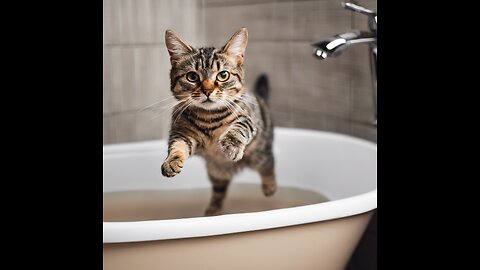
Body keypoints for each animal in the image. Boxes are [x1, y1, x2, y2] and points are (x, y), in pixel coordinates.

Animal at [161, 27, 276, 216]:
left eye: (223, 75)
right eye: (192, 76)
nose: (207, 90)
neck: (209, 118)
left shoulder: (248, 119)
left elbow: (239, 128)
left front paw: (231, 145)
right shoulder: (181, 132)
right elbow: (177, 146)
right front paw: (172, 162)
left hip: (259, 154)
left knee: (269, 164)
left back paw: (270, 187)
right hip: (217, 174)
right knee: (219, 191)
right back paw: (212, 211)